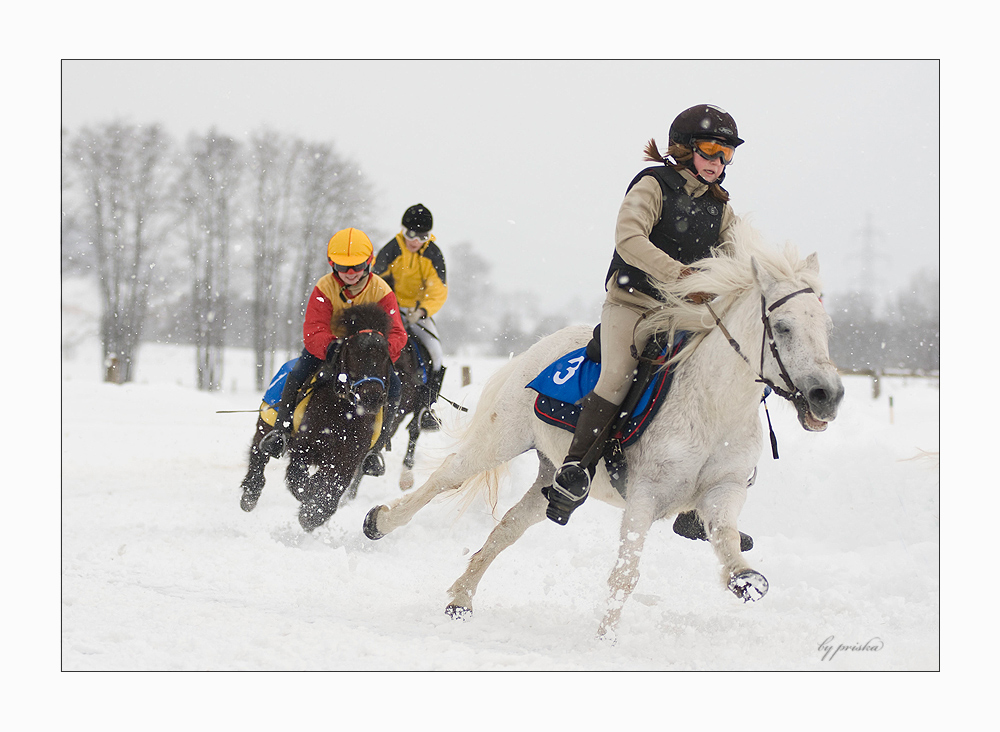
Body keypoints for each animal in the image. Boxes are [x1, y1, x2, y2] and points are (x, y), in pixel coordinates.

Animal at [241, 304, 394, 532]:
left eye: (385, 355)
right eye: (353, 352)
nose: (371, 397)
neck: (343, 415)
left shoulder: (347, 461)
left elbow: (331, 489)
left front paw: (313, 514)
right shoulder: (303, 449)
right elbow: (299, 480)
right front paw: (310, 509)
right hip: (266, 424)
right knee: (258, 453)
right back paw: (250, 493)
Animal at [360, 223, 844, 640]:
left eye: (826, 327)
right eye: (782, 326)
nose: (828, 395)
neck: (714, 406)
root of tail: (536, 350)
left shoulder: (723, 491)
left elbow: (725, 540)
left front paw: (745, 579)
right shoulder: (645, 496)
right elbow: (625, 574)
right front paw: (604, 641)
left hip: (550, 476)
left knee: (506, 529)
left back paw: (461, 598)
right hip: (500, 440)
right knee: (445, 478)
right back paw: (379, 522)